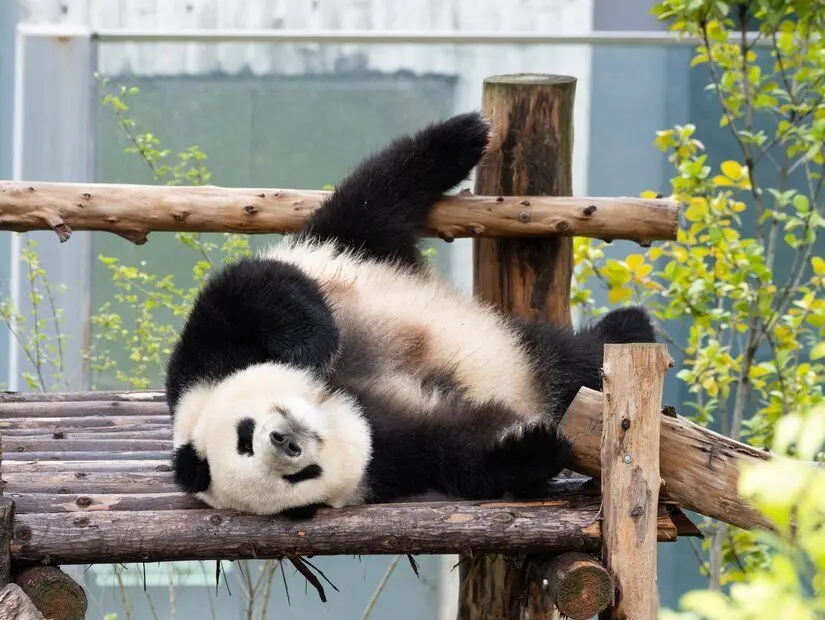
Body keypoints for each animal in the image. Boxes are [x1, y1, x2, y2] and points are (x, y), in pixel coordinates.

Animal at [165, 112, 656, 518]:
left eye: (244, 436)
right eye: (300, 477)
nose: (286, 441)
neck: (348, 400)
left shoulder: (205, 363)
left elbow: (246, 293)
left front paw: (313, 347)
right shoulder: (396, 453)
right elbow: (458, 455)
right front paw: (530, 447)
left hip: (353, 249)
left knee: (378, 194)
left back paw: (462, 135)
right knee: (573, 365)